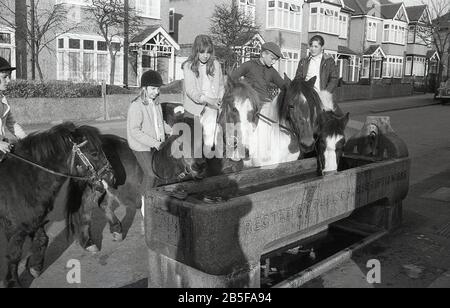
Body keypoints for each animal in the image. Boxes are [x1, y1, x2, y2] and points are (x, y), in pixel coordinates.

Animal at [0, 121, 114, 288]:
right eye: (94, 153)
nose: (111, 176)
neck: (23, 179)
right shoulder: (15, 228)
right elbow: (14, 255)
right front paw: (13, 282)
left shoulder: (34, 220)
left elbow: (43, 240)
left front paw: (34, 267)